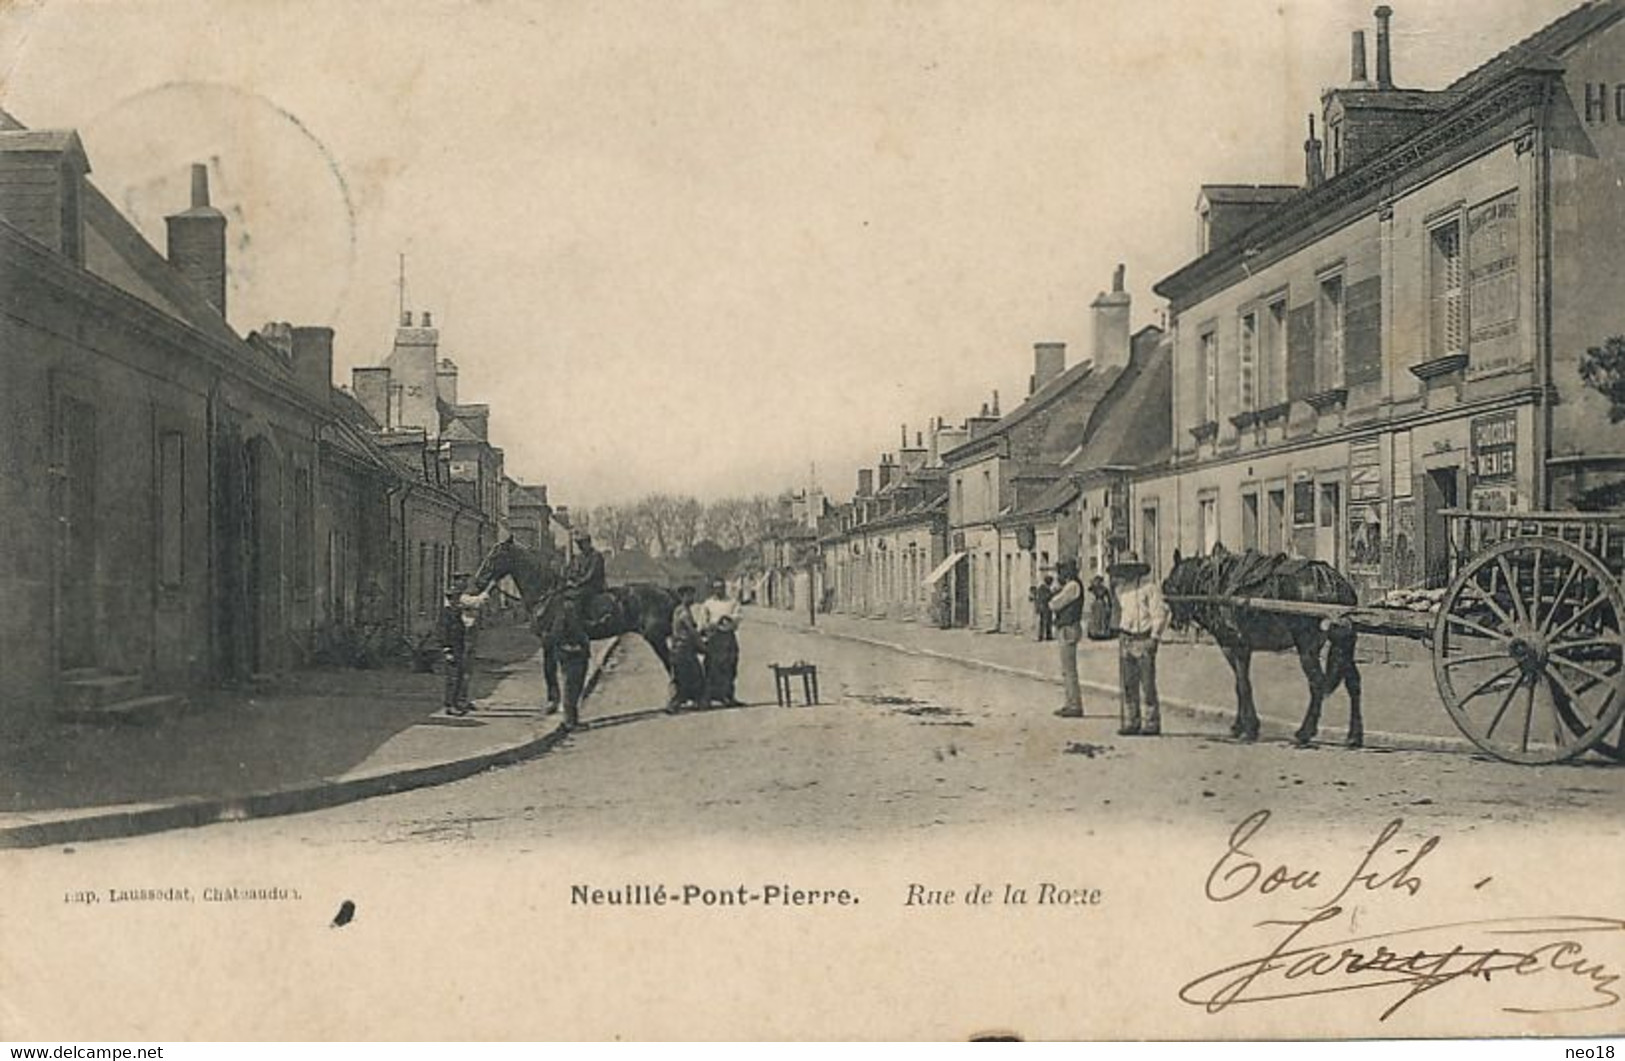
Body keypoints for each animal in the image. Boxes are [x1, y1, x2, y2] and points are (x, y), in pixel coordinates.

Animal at [471, 539, 679, 701]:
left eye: (494, 556)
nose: (478, 581)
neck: (545, 595)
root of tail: (666, 592)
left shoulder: (549, 639)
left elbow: (548, 668)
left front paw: (553, 702)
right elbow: (552, 668)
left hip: (655, 636)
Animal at [1163, 545, 1365, 744]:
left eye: (1169, 586)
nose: (1174, 624)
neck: (1216, 584)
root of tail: (1331, 581)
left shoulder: (1236, 645)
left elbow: (1243, 684)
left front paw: (1249, 729)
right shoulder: (1235, 647)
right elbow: (1239, 684)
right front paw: (1240, 726)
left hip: (1307, 646)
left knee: (1317, 684)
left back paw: (1305, 732)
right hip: (1341, 641)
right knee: (1353, 682)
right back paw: (1354, 735)